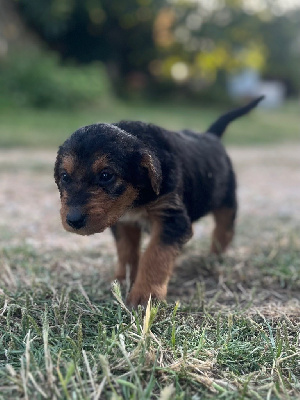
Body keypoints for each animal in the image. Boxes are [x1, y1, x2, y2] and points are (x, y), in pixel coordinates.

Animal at [55, 97, 264, 306]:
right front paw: (123, 280)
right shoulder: (123, 221)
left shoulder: (171, 218)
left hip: (226, 200)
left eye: (106, 175)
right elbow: (126, 251)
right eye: (64, 177)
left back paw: (215, 257)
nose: (73, 220)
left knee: (224, 228)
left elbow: (155, 255)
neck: (138, 198)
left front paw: (145, 295)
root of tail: (211, 136)